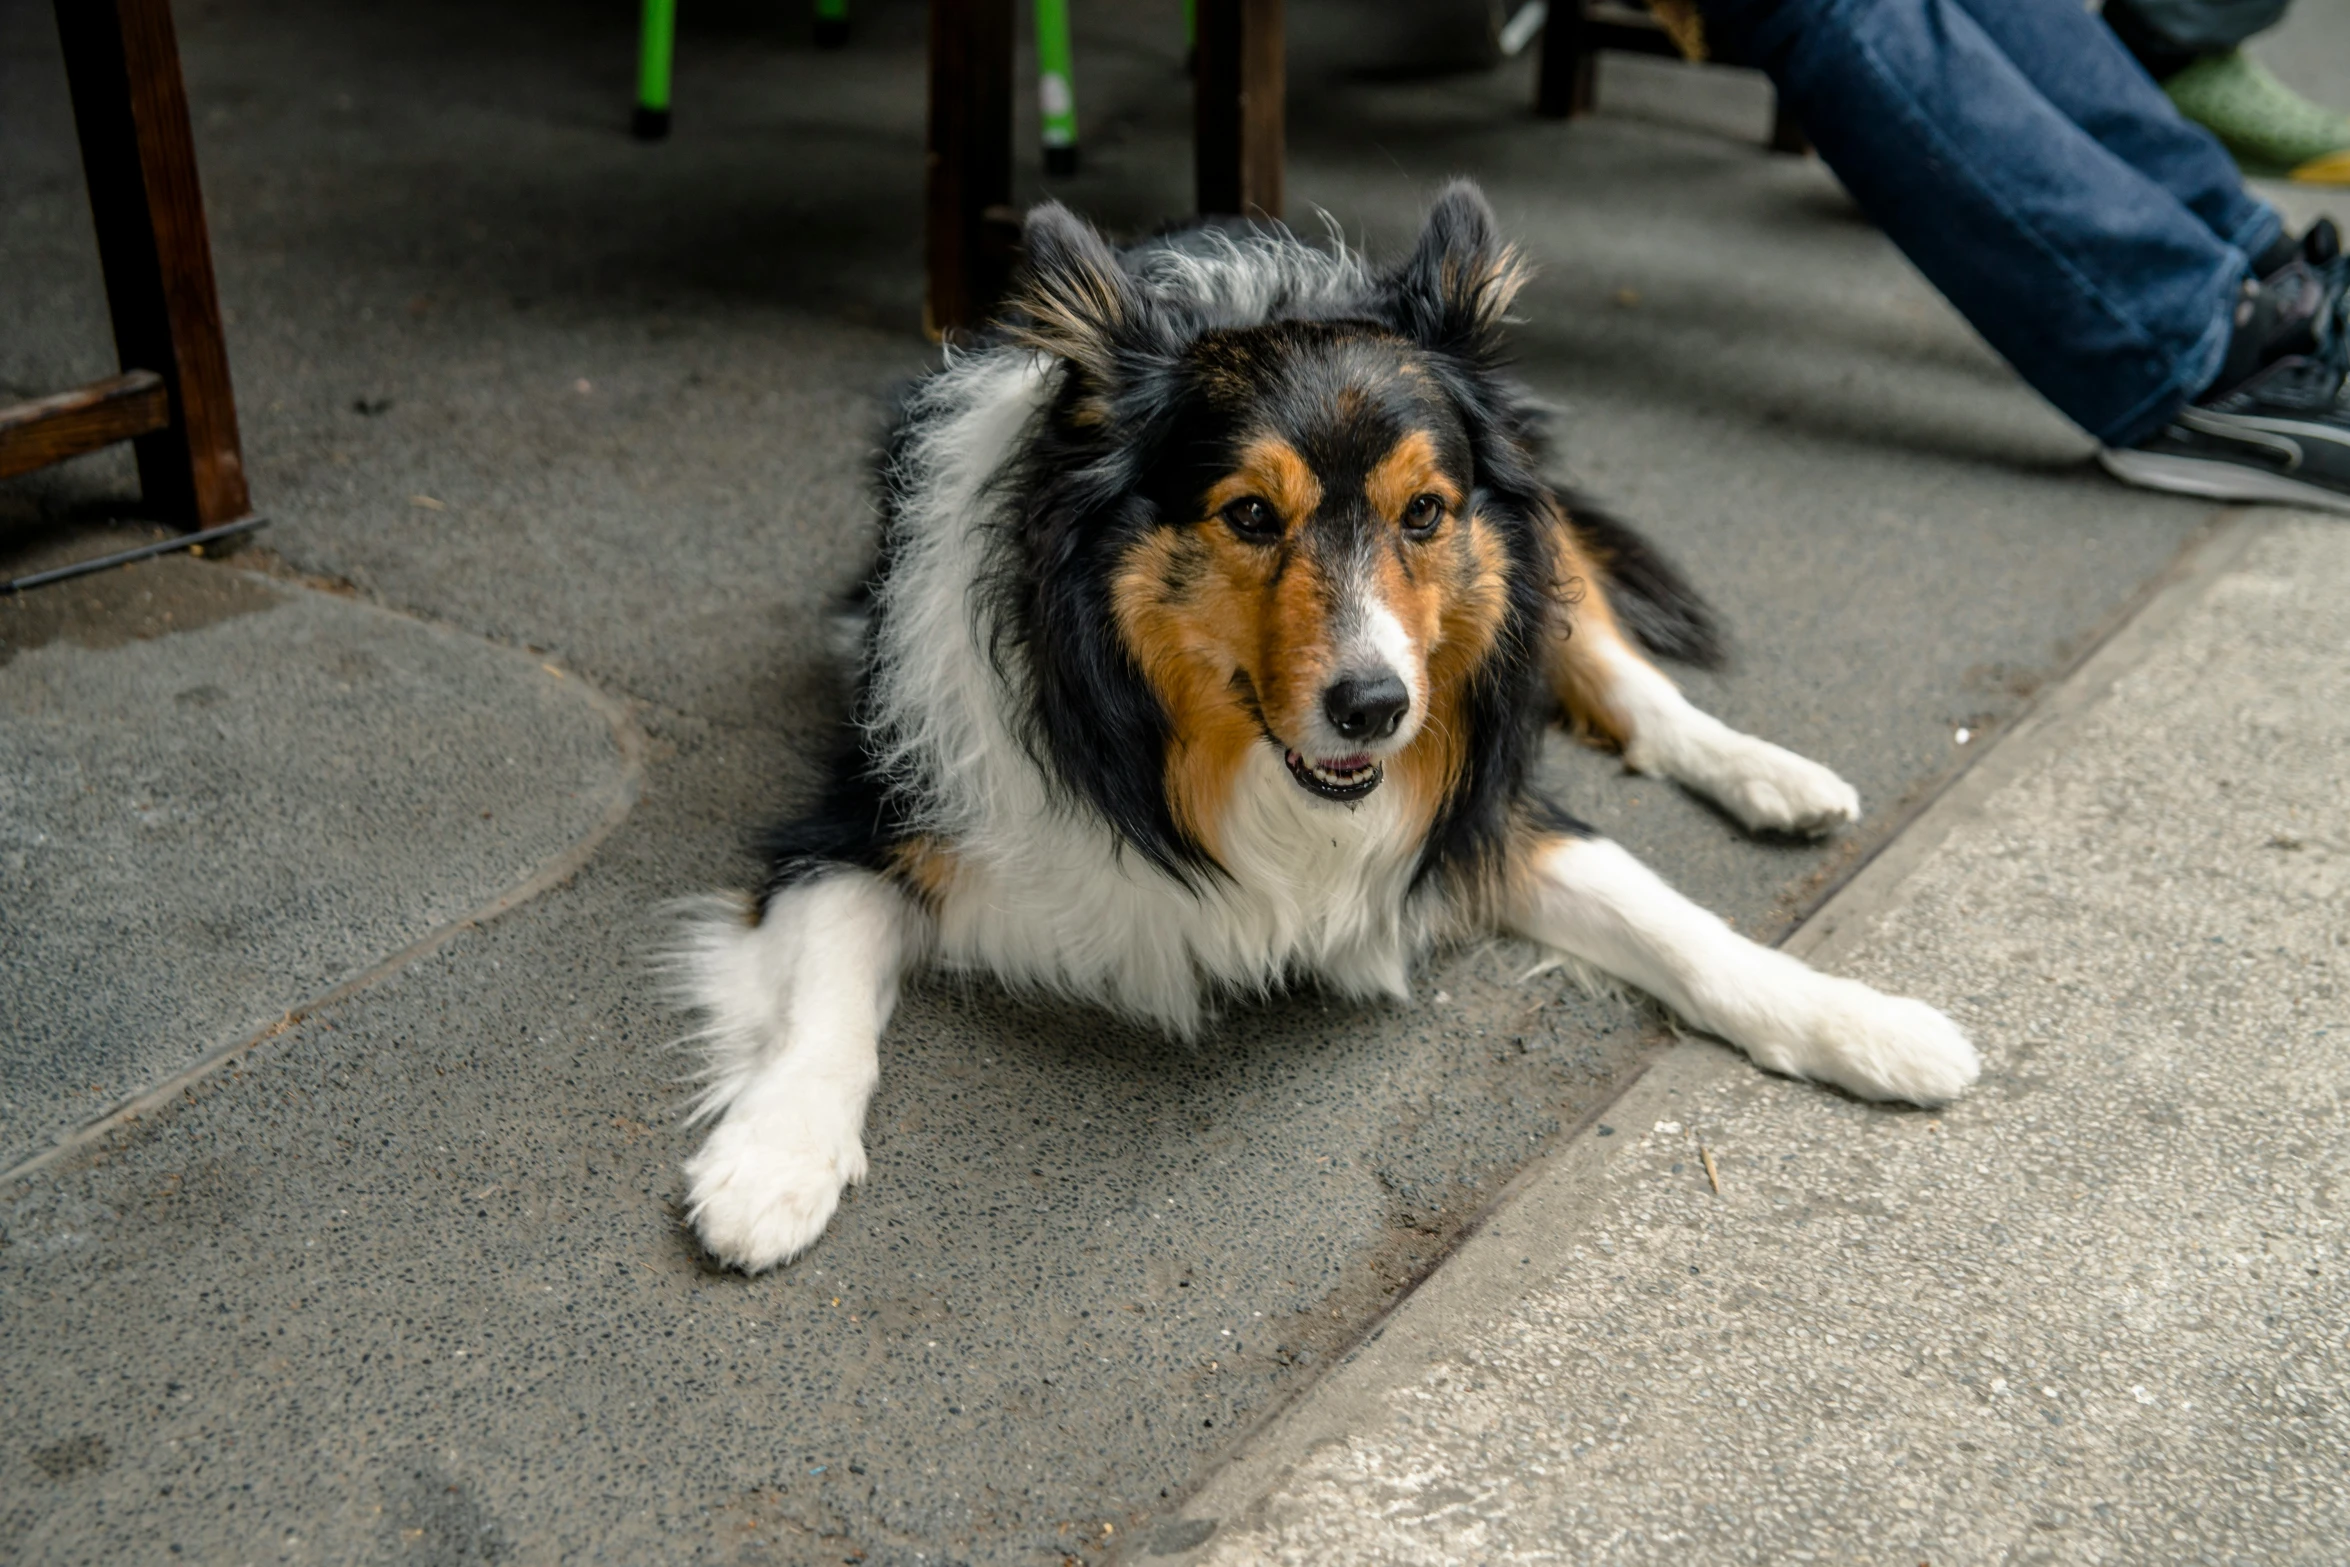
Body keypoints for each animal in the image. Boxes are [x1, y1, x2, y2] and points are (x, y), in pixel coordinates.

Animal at [681, 184, 1983, 1278]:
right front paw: (772, 1164)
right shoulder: (863, 819)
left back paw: (1774, 776)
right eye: (1250, 515)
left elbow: (1683, 928)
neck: (1189, 766)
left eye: (1425, 513)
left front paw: (1863, 1024)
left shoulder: (1469, 812)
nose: (1378, 709)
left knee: (1628, 680)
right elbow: (822, 1000)